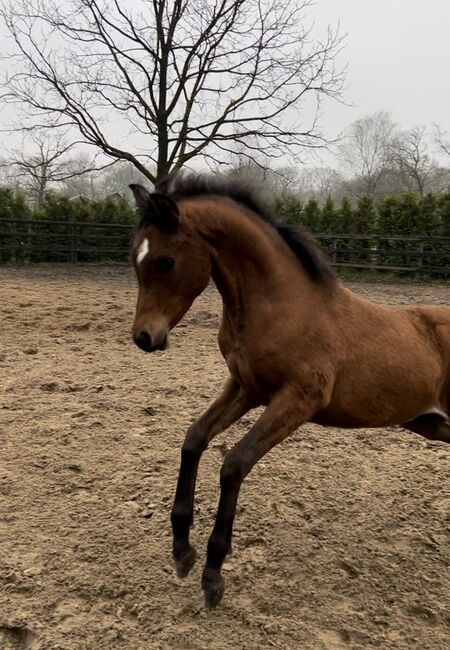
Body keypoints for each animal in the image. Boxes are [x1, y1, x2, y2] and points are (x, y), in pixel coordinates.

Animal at [127, 173, 450, 608]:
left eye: (166, 261)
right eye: (135, 257)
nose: (145, 338)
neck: (281, 307)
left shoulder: (297, 400)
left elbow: (234, 464)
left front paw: (213, 574)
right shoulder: (246, 389)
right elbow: (194, 439)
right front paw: (182, 550)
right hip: (432, 424)